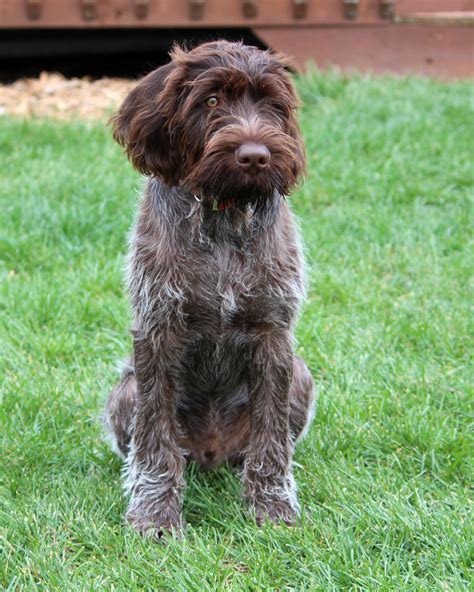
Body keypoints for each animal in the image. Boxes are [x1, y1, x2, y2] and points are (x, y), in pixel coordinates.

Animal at [105, 39, 316, 540]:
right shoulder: (157, 332)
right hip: (124, 392)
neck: (223, 214)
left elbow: (271, 440)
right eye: (213, 100)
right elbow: (154, 440)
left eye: (271, 105)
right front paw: (154, 513)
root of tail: (212, 452)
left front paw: (272, 505)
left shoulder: (273, 335)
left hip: (302, 377)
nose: (255, 155)